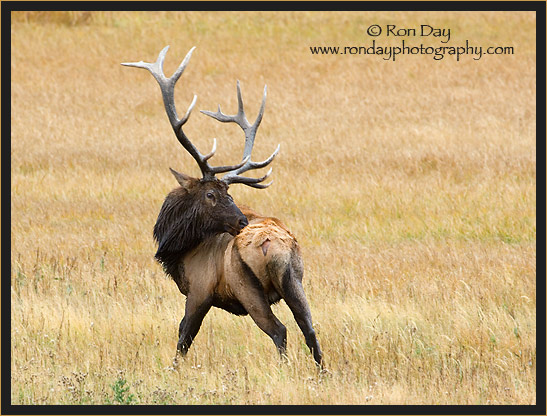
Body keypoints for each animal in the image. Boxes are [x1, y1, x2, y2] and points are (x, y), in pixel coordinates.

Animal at [122, 45, 324, 366]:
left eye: (221, 192)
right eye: (212, 194)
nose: (241, 221)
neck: (180, 250)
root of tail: (276, 246)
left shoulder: (199, 290)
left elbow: (184, 336)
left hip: (247, 287)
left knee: (279, 330)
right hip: (295, 279)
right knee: (310, 329)